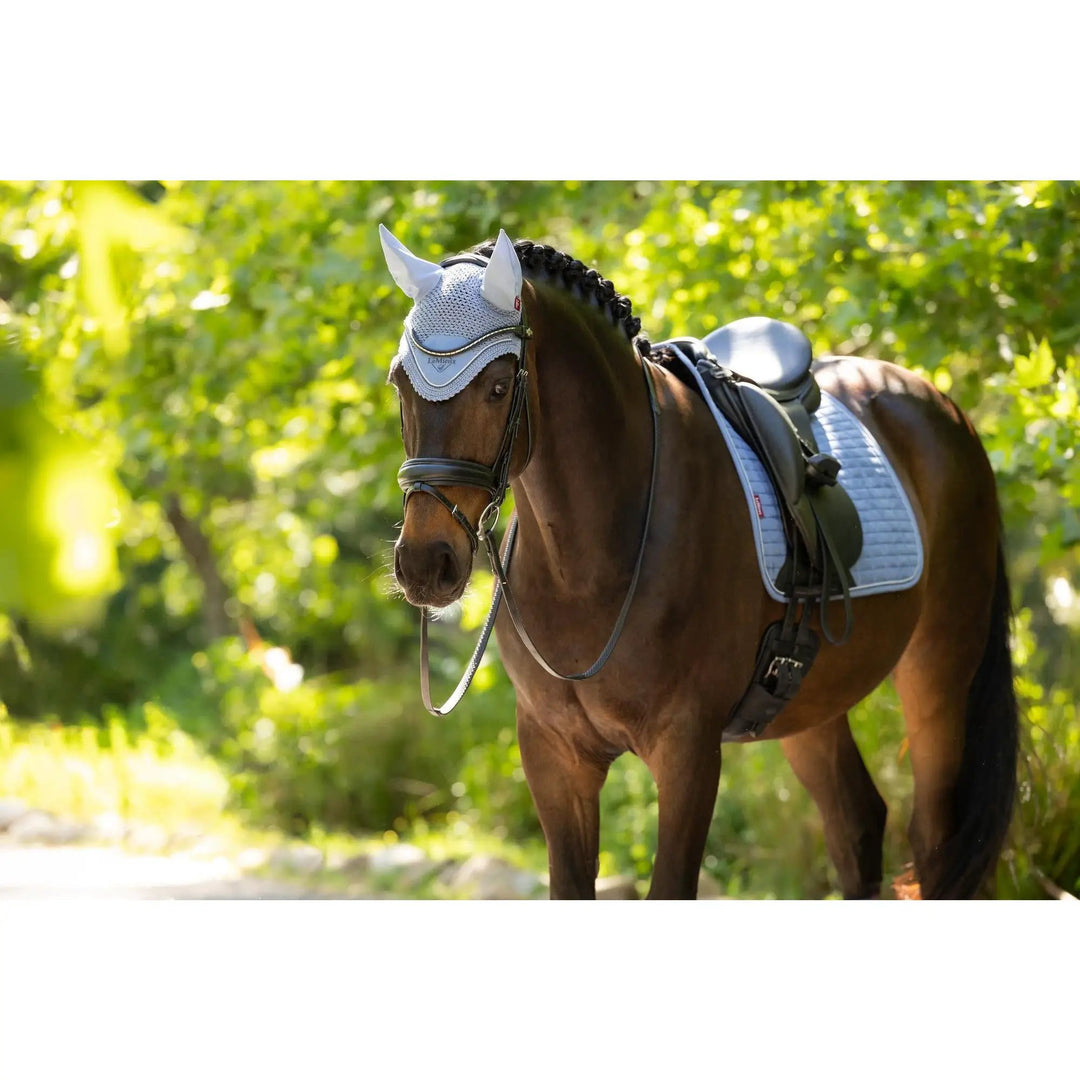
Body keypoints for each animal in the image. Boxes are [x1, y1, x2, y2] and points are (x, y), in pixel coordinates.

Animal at [381, 225, 1018, 900]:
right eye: (400, 383)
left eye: (498, 388)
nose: (424, 565)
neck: (590, 560)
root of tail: (940, 407)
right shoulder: (555, 754)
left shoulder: (687, 750)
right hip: (807, 702)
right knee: (857, 823)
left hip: (940, 669)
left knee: (933, 840)